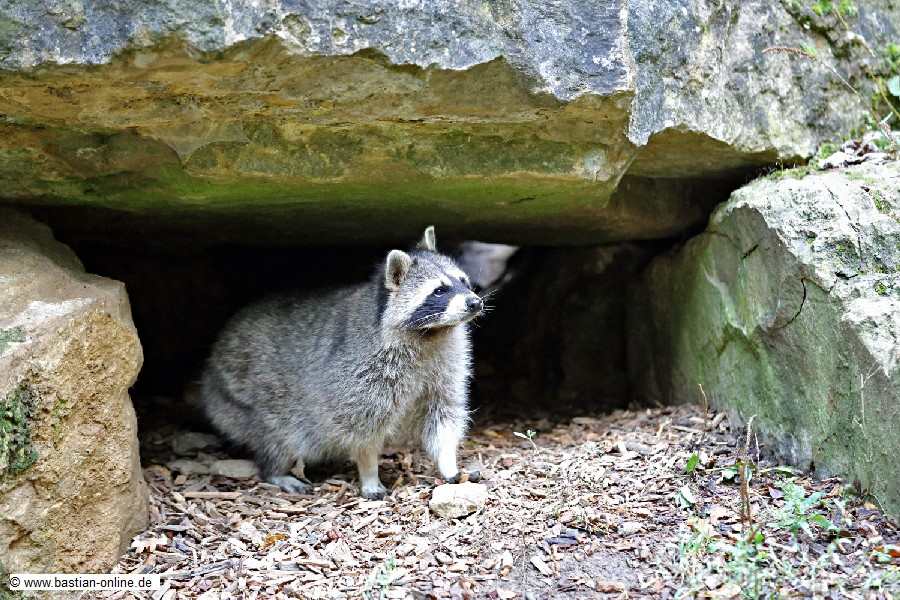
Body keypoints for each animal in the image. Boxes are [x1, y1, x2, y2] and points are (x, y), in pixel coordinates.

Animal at [199, 227, 483, 498]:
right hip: (248, 398)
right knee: (277, 436)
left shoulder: (446, 366)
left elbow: (444, 416)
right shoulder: (359, 374)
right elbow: (362, 430)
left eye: (463, 281)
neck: (432, 333)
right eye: (439, 290)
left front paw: (447, 461)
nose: (475, 302)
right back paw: (276, 470)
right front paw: (369, 472)